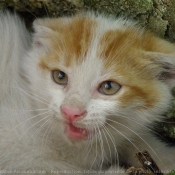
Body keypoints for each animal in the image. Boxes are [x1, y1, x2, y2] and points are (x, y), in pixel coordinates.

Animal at [0, 10, 175, 174]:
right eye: (60, 76)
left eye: (109, 87)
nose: (70, 112)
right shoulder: (13, 141)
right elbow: (47, 165)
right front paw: (116, 172)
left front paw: (166, 158)